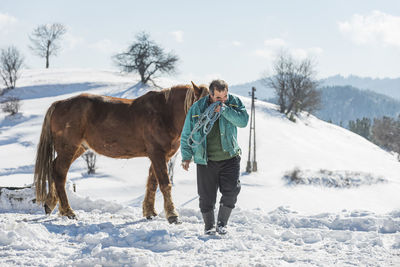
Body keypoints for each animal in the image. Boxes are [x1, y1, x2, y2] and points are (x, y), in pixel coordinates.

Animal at [33, 82, 209, 224]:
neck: (165, 113)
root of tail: (58, 104)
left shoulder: (161, 156)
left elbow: (152, 182)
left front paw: (150, 212)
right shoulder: (157, 154)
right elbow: (165, 184)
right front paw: (172, 215)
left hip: (78, 148)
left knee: (54, 169)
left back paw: (51, 204)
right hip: (68, 148)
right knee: (60, 173)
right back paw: (68, 211)